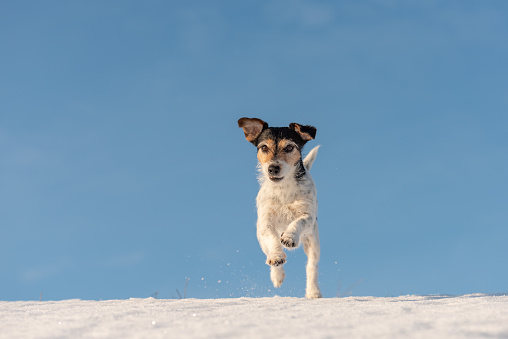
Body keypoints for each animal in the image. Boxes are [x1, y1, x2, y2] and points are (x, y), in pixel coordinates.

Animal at [237, 118, 322, 298]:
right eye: (264, 147)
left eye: (289, 147)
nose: (273, 168)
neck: (283, 188)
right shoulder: (264, 223)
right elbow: (272, 239)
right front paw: (277, 256)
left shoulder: (308, 216)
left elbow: (298, 221)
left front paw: (289, 237)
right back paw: (277, 275)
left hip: (313, 241)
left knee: (312, 266)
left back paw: (313, 292)